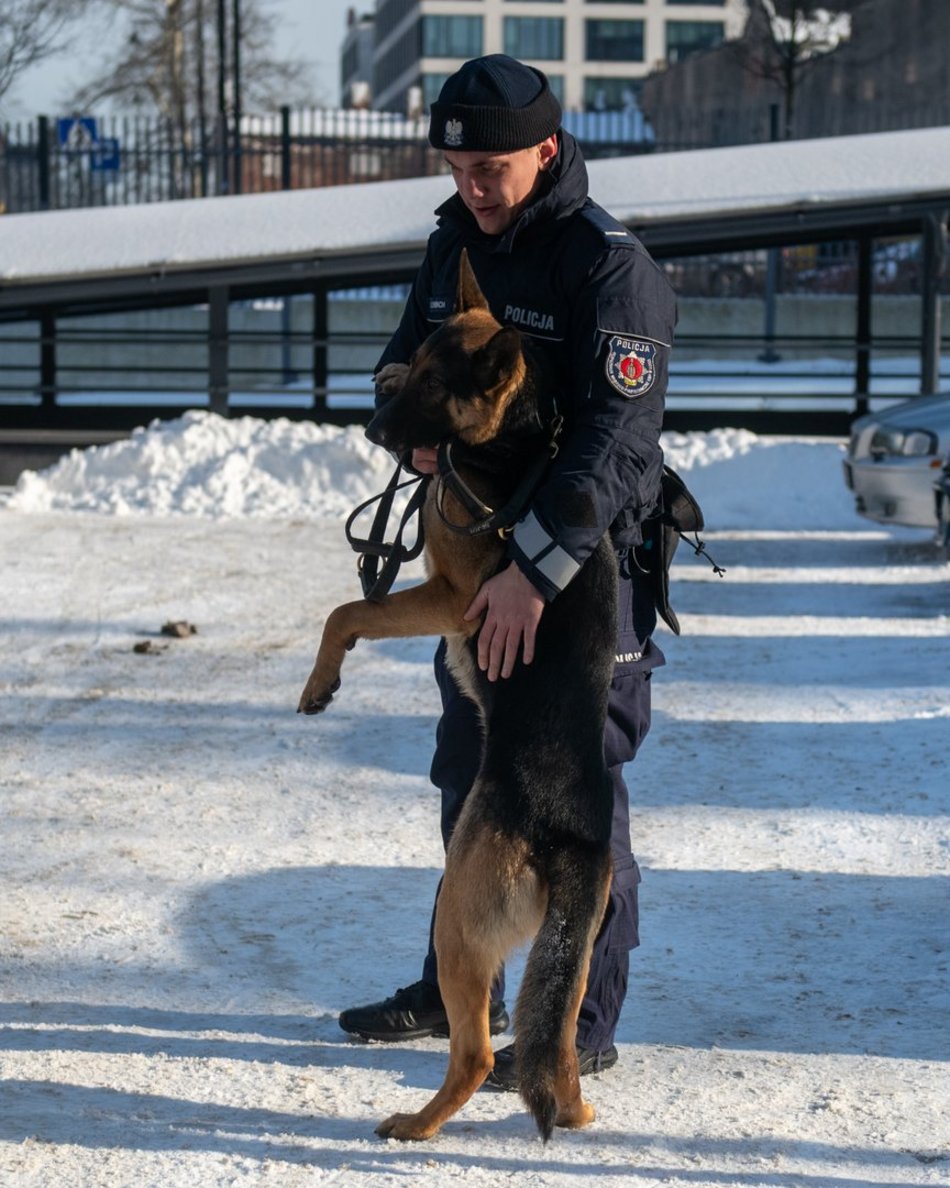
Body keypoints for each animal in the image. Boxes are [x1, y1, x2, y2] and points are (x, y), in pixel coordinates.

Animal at [300, 250, 617, 1140]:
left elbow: (347, 612)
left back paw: (413, 1124)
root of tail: (568, 836)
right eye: (413, 367)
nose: (375, 429)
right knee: (557, 1052)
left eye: (437, 386)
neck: (522, 445)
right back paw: (573, 1110)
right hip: (565, 960)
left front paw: (320, 683)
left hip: (458, 923)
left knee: (475, 1054)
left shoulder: (447, 594)